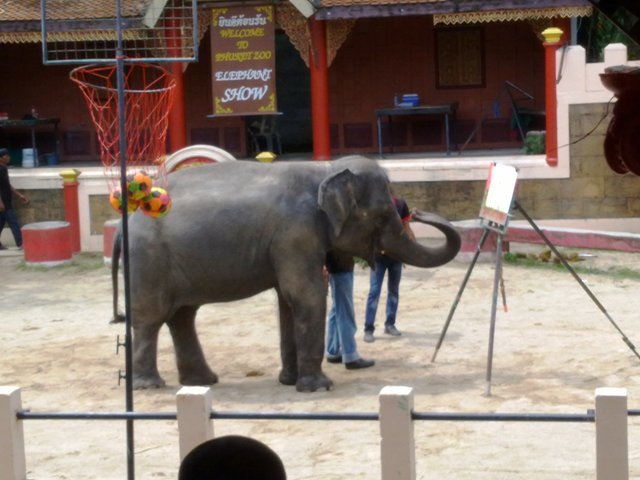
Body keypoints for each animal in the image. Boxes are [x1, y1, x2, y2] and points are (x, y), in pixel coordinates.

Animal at [111, 156, 460, 392]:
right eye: (385, 213)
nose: (419, 211)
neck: (325, 169)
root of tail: (125, 222)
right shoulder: (295, 232)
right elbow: (306, 295)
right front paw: (319, 387)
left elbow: (287, 301)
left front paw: (290, 382)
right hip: (148, 260)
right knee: (152, 318)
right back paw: (150, 385)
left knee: (183, 316)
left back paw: (202, 382)